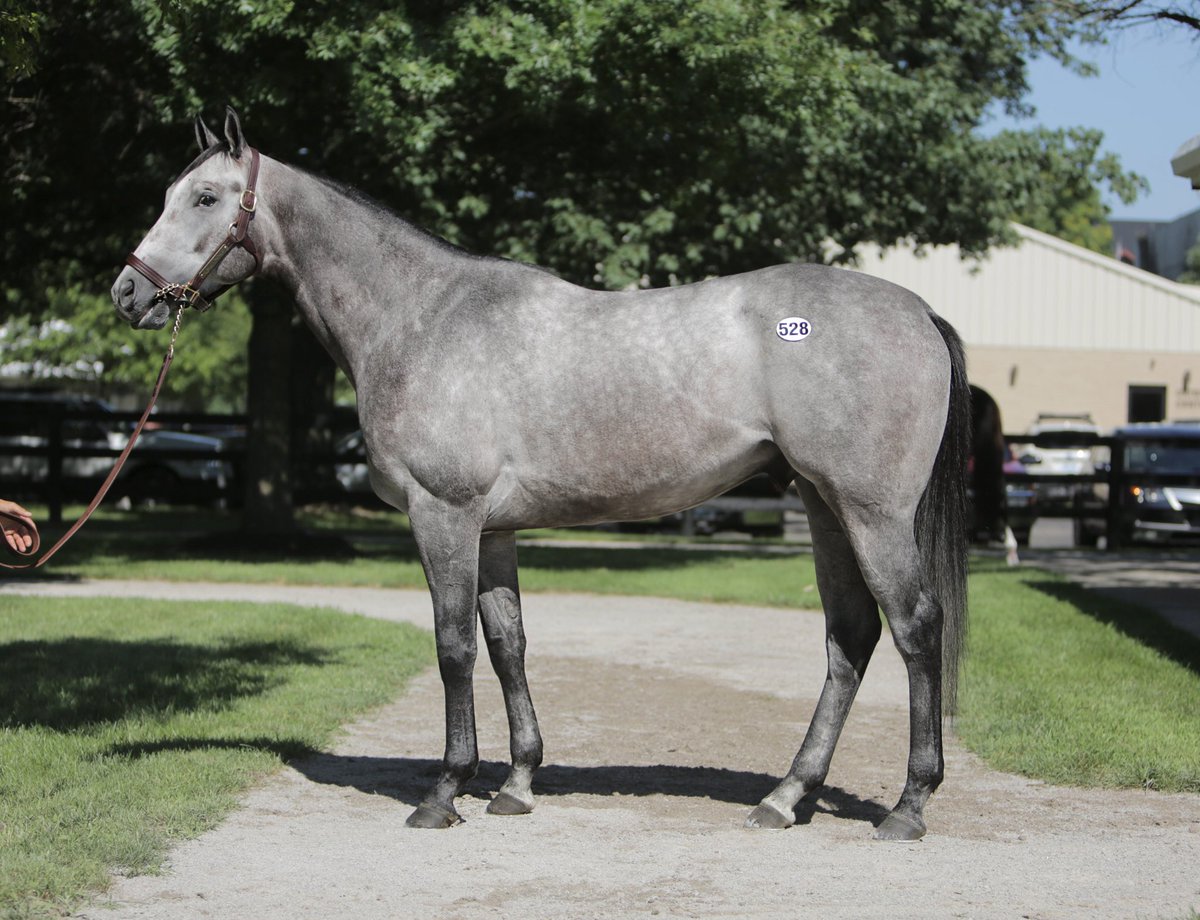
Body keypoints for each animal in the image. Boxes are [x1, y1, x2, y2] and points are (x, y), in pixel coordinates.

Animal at [110, 109, 974, 844]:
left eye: (206, 196)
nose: (128, 292)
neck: (421, 318)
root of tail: (918, 310)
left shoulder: (444, 514)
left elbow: (453, 645)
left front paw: (444, 793)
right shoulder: (492, 529)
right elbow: (508, 645)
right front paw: (517, 783)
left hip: (871, 512)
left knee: (914, 628)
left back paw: (907, 807)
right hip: (824, 506)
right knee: (849, 637)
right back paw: (786, 797)